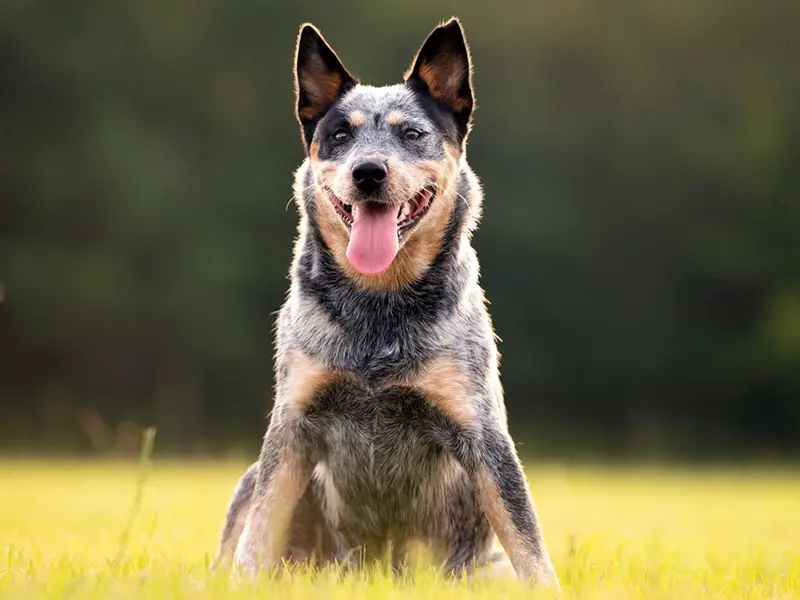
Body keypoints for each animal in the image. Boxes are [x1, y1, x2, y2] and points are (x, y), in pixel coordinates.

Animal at [212, 17, 556, 584]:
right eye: (339, 134)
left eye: (411, 133)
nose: (368, 170)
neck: (379, 308)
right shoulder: (292, 428)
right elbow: (256, 535)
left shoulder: (482, 434)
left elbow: (529, 546)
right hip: (259, 484)